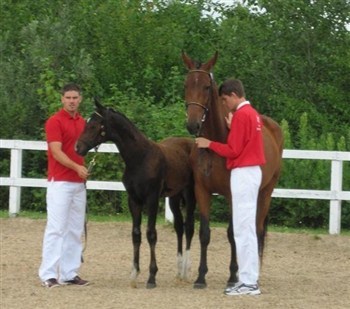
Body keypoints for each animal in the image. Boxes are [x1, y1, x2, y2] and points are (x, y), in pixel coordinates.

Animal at [75, 100, 196, 288]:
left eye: (94, 125)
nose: (78, 148)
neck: (140, 157)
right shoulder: (134, 200)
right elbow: (136, 234)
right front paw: (134, 274)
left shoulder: (152, 199)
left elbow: (151, 234)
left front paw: (152, 276)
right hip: (174, 198)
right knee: (179, 227)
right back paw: (178, 270)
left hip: (190, 195)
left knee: (189, 227)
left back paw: (186, 271)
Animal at [182, 50, 284, 286]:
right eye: (186, 84)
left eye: (206, 87)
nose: (193, 124)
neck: (215, 144)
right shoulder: (202, 191)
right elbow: (204, 233)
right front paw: (201, 277)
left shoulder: (231, 193)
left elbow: (232, 233)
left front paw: (232, 275)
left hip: (266, 192)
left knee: (257, 230)